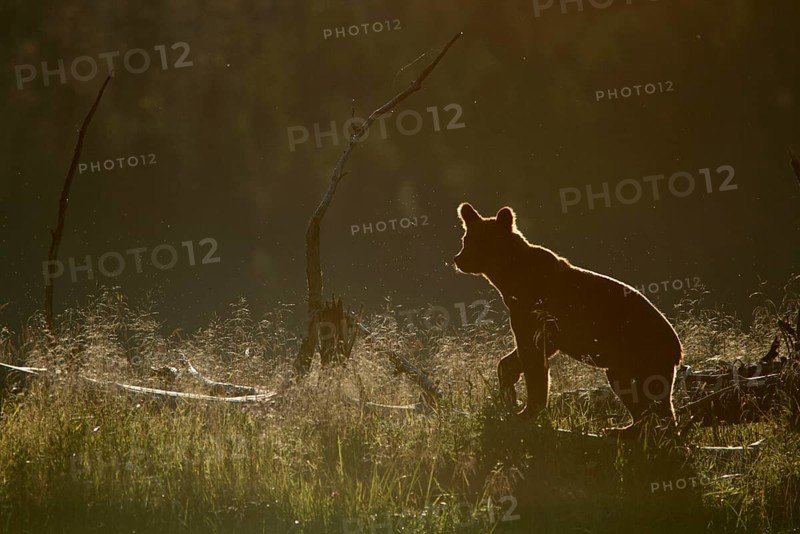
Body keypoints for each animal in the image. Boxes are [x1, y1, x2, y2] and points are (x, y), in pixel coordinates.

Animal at [453, 203, 683, 433]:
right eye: (466, 239)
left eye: (481, 241)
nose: (459, 258)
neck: (507, 277)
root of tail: (678, 349)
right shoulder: (539, 326)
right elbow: (515, 359)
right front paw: (510, 392)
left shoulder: (536, 316)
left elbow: (534, 363)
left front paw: (526, 411)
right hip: (624, 366)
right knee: (639, 397)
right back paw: (623, 430)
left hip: (641, 355)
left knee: (650, 399)